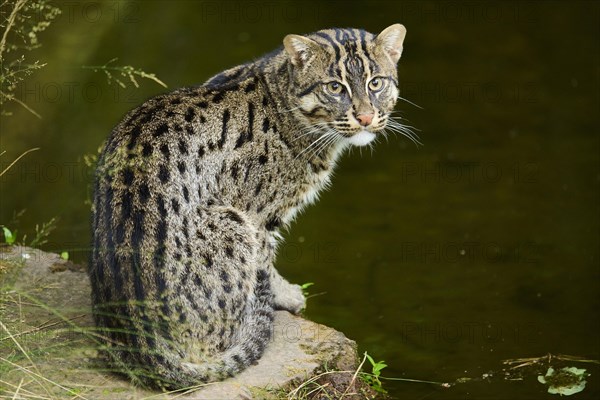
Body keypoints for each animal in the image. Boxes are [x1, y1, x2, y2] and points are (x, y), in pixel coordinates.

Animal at [89, 23, 408, 390]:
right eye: (334, 87)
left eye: (376, 83)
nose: (366, 117)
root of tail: (143, 347)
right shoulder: (257, 215)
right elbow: (265, 262)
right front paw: (284, 295)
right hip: (231, 223)